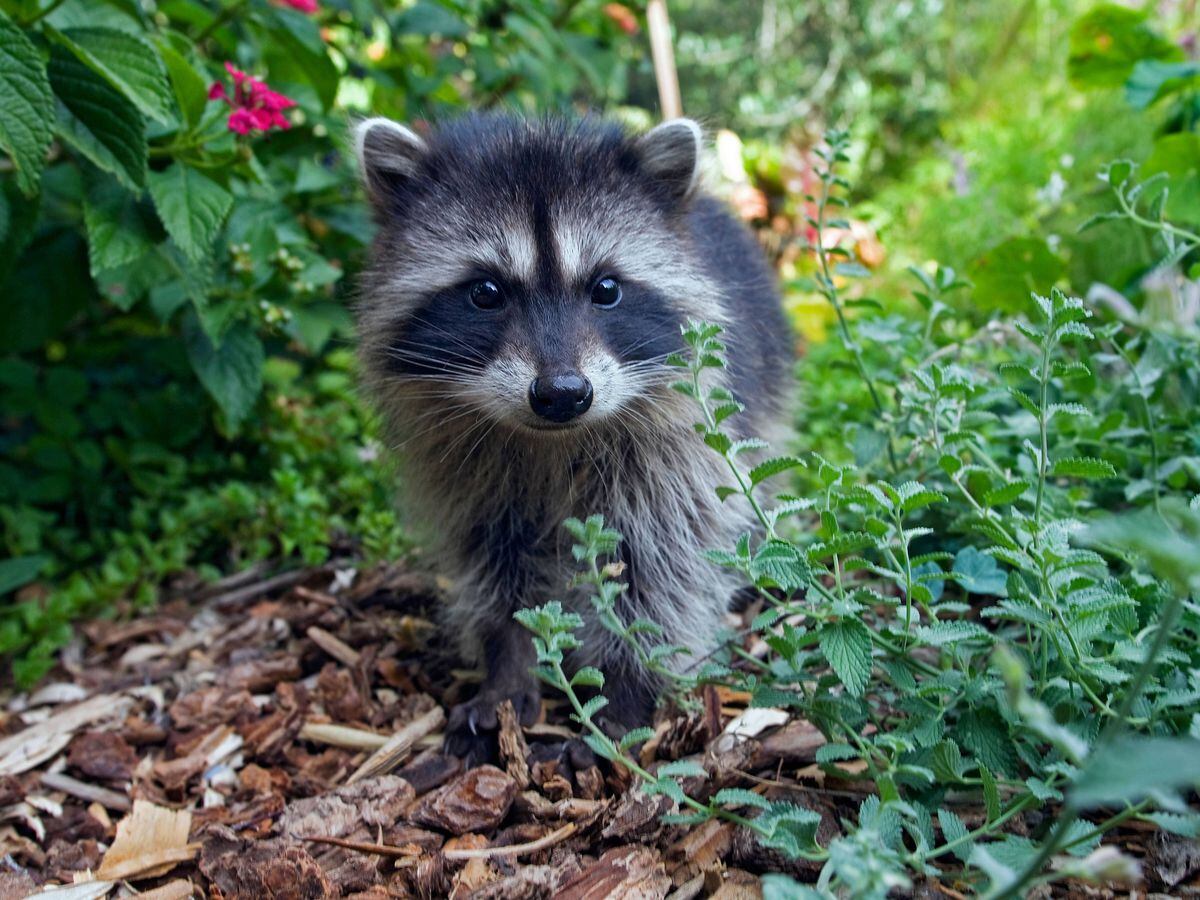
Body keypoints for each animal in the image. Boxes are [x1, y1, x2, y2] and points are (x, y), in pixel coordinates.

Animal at [350, 111, 792, 763]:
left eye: (606, 289)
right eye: (485, 292)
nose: (562, 393)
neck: (552, 440)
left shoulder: (675, 454)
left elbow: (661, 565)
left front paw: (625, 695)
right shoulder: (467, 471)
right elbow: (497, 563)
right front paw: (508, 667)